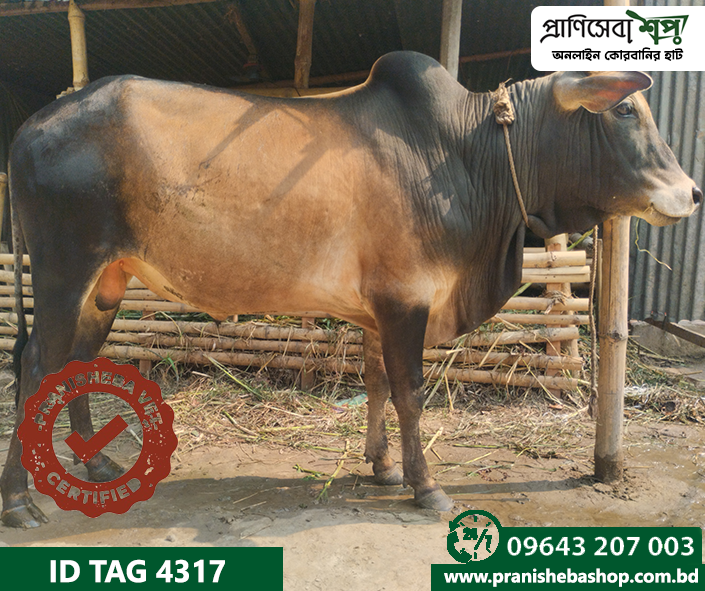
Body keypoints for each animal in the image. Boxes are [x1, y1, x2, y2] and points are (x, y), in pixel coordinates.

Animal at [1, 52, 700, 528]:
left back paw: (95, 465)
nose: (691, 193)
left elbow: (376, 384)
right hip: (64, 272)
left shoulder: (375, 311)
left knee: (74, 365)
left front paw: (383, 467)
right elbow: (410, 391)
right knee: (34, 365)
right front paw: (426, 488)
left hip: (107, 284)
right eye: (624, 109)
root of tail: (31, 125)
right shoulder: (406, 302)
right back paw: (18, 500)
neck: (469, 154)